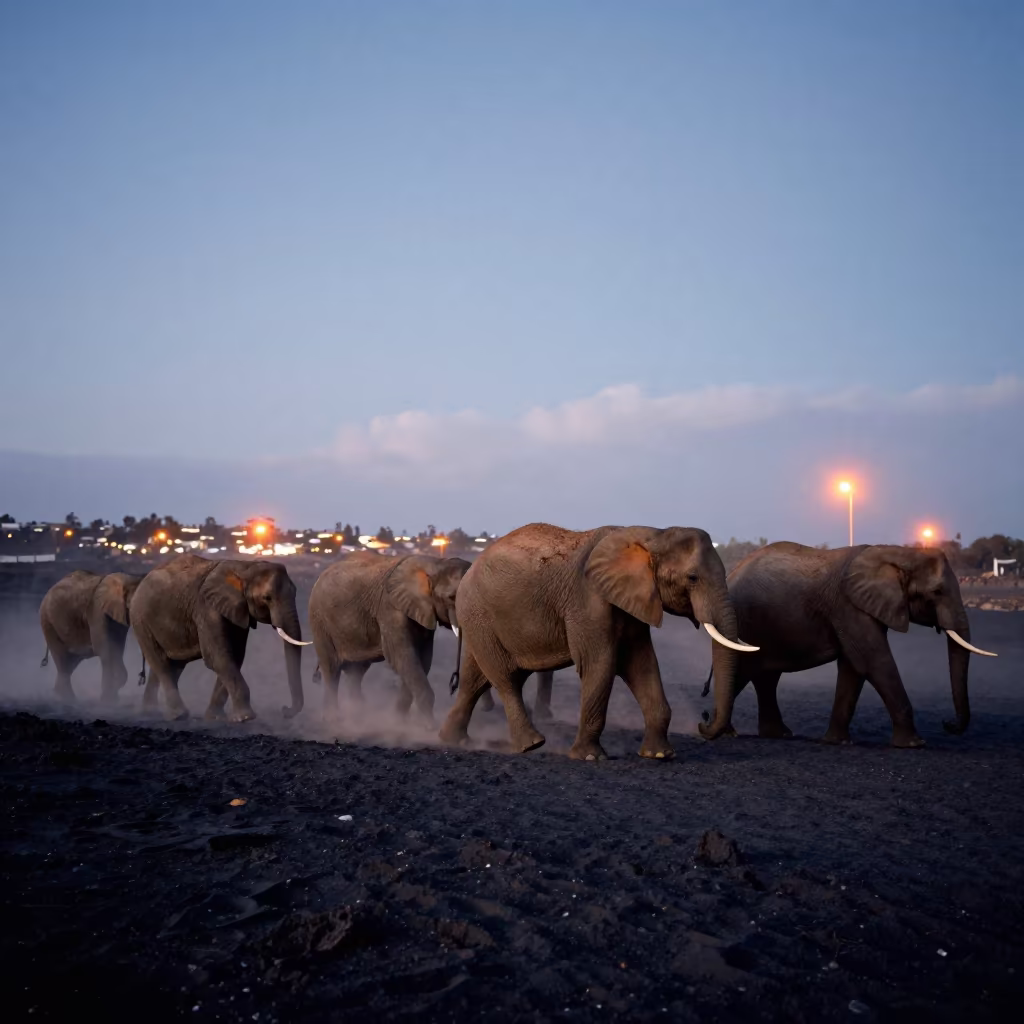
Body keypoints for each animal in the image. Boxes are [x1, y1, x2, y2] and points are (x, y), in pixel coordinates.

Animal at [38, 570, 145, 702]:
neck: (129, 579)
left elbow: (117, 649)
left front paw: (112, 698)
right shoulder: (97, 611)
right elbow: (105, 651)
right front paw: (107, 701)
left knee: (70, 663)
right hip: (48, 623)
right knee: (63, 661)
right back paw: (68, 700)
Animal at [130, 555, 308, 722]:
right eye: (267, 598)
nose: (284, 710)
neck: (245, 567)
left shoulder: (237, 610)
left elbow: (235, 656)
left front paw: (215, 718)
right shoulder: (205, 607)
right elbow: (217, 657)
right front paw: (245, 718)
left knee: (173, 665)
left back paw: (151, 711)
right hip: (140, 618)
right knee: (160, 662)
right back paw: (178, 715)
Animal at [308, 551, 470, 724]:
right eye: (452, 597)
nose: (453, 685)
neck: (435, 563)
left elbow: (422, 659)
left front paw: (398, 721)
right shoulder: (389, 608)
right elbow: (402, 656)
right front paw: (429, 727)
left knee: (356, 672)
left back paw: (358, 714)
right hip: (319, 621)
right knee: (331, 668)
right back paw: (333, 719)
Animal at [439, 523, 757, 761]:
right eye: (692, 578)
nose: (703, 719)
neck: (652, 534)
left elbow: (642, 663)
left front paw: (659, 755)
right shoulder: (588, 600)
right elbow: (600, 664)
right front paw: (589, 757)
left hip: (481, 621)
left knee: (475, 679)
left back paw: (451, 740)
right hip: (479, 614)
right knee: (505, 678)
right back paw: (531, 745)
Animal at [699, 542, 997, 747]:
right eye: (936, 592)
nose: (948, 724)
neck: (898, 553)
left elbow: (854, 667)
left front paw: (836, 742)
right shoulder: (849, 607)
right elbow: (873, 661)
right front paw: (915, 744)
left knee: (766, 678)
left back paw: (775, 734)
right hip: (748, 622)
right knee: (746, 673)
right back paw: (726, 732)